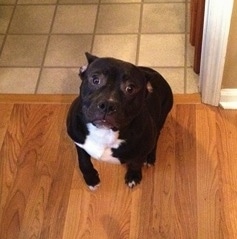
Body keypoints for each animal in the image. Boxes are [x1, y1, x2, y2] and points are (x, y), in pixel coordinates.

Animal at [66, 52, 172, 190]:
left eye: (130, 88)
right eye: (95, 80)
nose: (107, 105)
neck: (104, 133)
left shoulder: (141, 149)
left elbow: (136, 163)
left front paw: (133, 176)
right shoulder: (78, 141)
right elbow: (83, 161)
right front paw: (91, 179)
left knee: (156, 137)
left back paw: (149, 158)